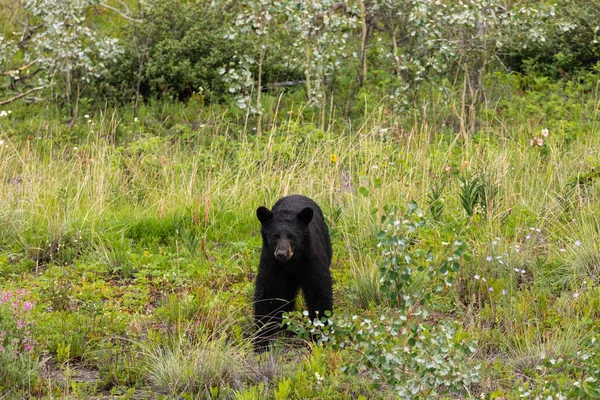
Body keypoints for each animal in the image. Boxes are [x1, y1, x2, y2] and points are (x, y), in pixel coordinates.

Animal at [253, 195, 332, 352]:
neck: (291, 263)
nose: (282, 254)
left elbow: (318, 292)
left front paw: (320, 336)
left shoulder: (312, 260)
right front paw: (262, 340)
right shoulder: (271, 263)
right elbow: (268, 294)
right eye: (275, 236)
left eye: (292, 236)